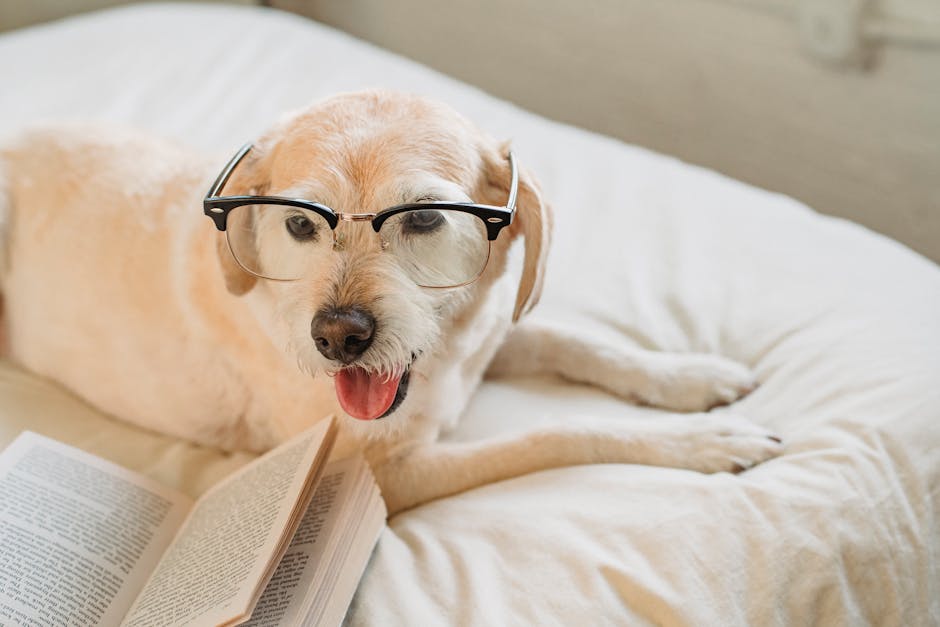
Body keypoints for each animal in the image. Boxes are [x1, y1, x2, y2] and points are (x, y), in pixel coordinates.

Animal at [0, 92, 780, 516]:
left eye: (426, 218)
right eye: (300, 224)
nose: (338, 337)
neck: (443, 365)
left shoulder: (487, 336)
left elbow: (576, 341)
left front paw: (687, 377)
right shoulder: (383, 476)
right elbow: (557, 434)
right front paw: (702, 443)